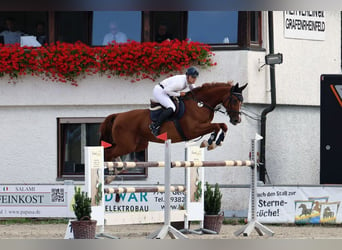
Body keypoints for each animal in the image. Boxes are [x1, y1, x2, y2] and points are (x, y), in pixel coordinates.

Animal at [99, 81, 246, 161]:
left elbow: (223, 125)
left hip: (137, 145)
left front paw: (217, 142)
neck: (200, 104)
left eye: (242, 101)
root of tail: (118, 115)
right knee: (107, 153)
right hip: (126, 145)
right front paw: (209, 142)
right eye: (234, 100)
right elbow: (216, 126)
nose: (237, 120)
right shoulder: (193, 130)